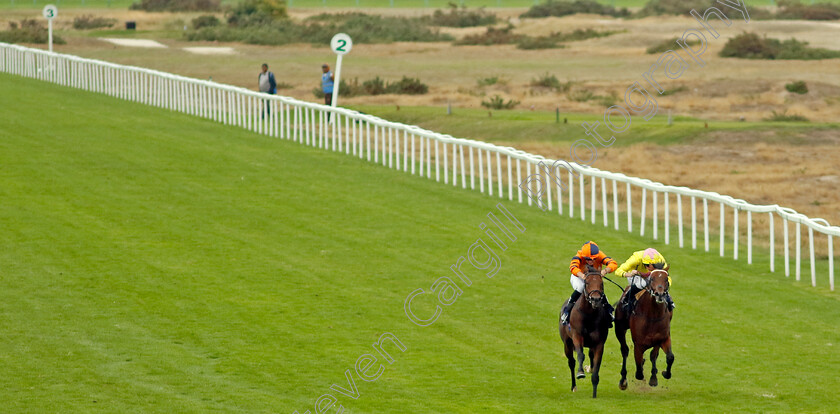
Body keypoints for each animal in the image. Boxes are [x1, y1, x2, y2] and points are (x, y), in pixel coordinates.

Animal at [556, 266, 612, 398]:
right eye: (586, 283)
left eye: (601, 283)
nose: (596, 299)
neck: (589, 315)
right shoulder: (577, 336)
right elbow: (581, 354)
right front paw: (580, 373)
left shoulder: (599, 343)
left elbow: (596, 365)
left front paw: (594, 393)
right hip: (567, 343)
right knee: (571, 362)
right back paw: (574, 386)